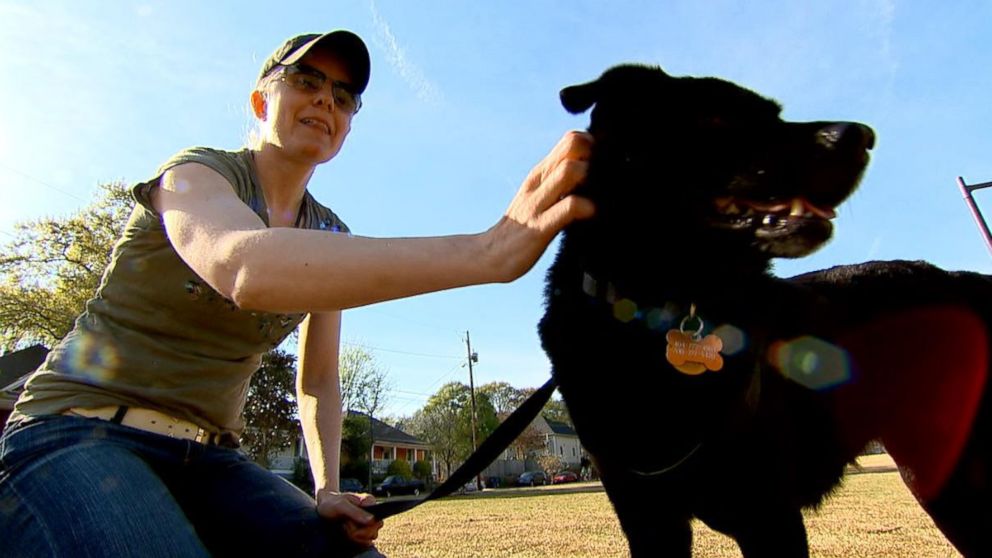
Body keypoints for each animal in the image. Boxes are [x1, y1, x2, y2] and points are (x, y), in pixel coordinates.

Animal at [540, 63, 992, 556]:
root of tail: (964, 279)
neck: (657, 315)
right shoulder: (648, 518)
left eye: (776, 113)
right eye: (720, 119)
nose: (863, 135)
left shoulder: (768, 515)